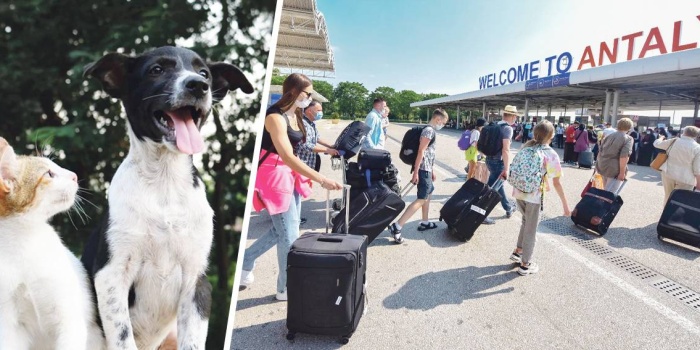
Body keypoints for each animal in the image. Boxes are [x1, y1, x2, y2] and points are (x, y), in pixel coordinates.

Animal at [81, 47, 254, 350]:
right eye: (157, 70)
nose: (198, 85)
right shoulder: (111, 276)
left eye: (204, 73)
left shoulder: (196, 281)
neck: (165, 183)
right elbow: (123, 338)